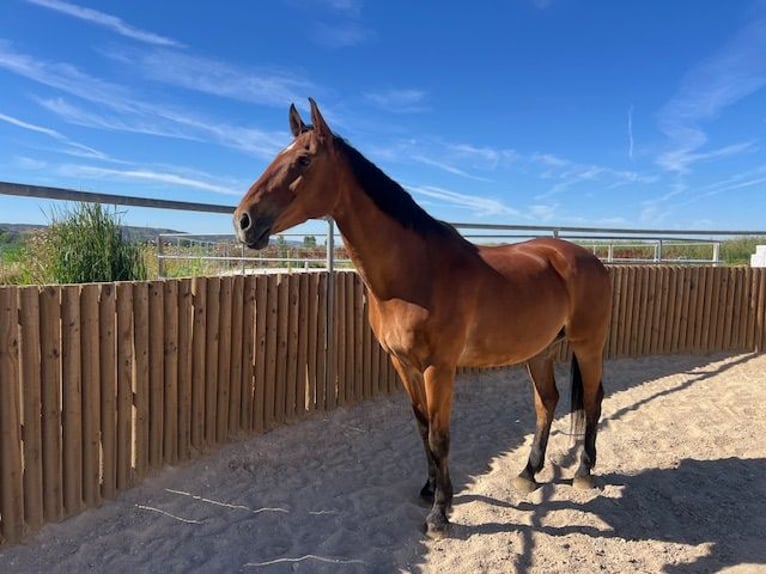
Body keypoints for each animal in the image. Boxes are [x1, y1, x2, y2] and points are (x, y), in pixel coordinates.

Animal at [234, 99, 612, 538]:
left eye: (303, 160)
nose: (243, 221)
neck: (415, 273)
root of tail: (587, 259)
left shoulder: (439, 368)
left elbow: (440, 434)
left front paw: (440, 514)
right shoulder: (403, 364)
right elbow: (421, 428)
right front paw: (430, 490)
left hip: (588, 345)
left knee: (592, 400)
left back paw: (584, 471)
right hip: (540, 351)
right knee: (546, 403)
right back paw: (528, 473)